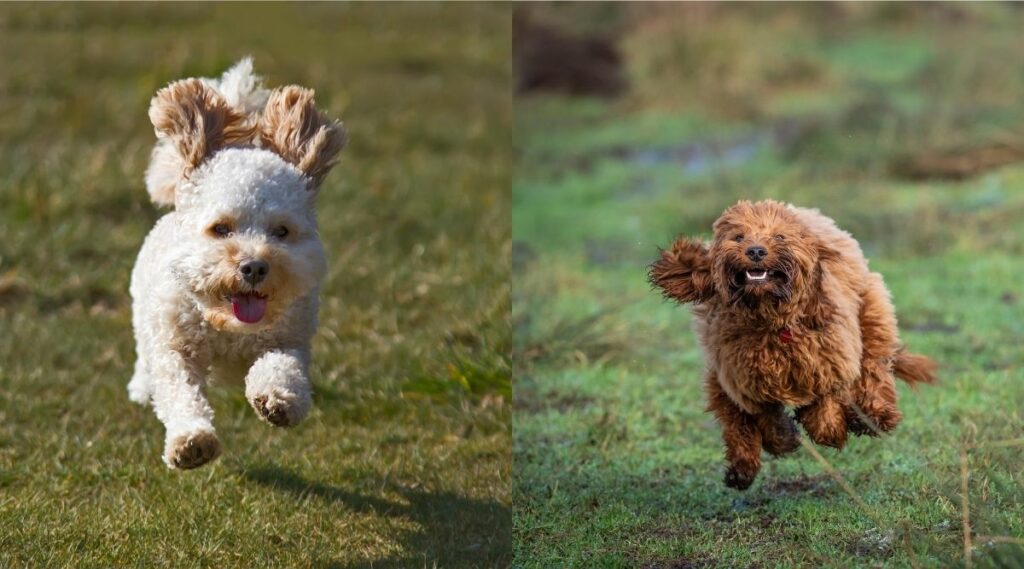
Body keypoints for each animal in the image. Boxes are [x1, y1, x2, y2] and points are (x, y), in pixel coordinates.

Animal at [126, 57, 344, 468]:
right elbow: (179, 392)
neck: (227, 326)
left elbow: (282, 367)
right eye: (221, 228)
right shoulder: (175, 347)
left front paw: (278, 400)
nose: (254, 267)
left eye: (281, 231)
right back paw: (141, 388)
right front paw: (191, 442)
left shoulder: (290, 338)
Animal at [647, 198, 937, 489]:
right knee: (735, 420)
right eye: (738, 237)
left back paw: (874, 416)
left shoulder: (830, 364)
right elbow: (757, 418)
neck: (772, 324)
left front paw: (831, 428)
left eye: (780, 237)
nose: (755, 251)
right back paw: (744, 467)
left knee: (873, 368)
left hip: (871, 317)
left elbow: (825, 412)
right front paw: (781, 439)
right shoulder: (742, 380)